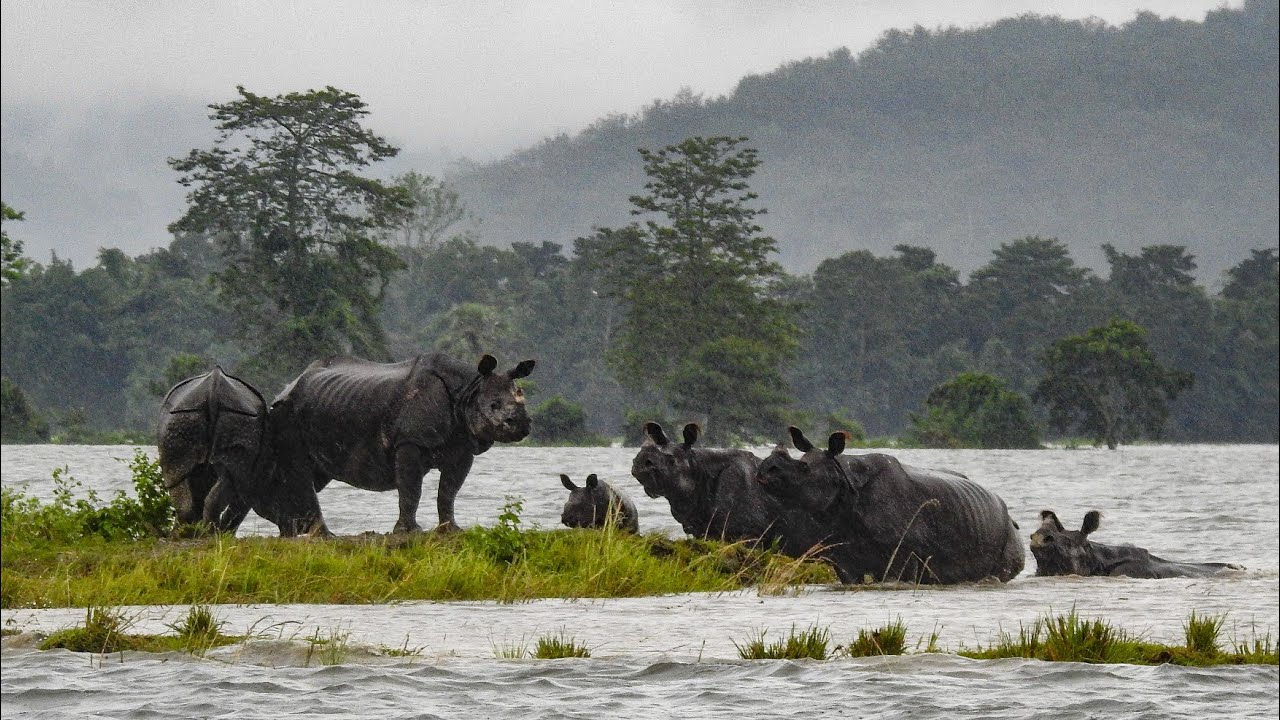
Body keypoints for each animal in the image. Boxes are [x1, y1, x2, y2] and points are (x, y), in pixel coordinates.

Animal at [157, 366, 326, 536]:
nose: (294, 529)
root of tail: (213, 390)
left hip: (198, 418)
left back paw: (195, 534)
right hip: (193, 417)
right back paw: (197, 533)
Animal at [269, 352, 535, 534]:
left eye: (522, 398)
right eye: (494, 406)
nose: (522, 425)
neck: (469, 389)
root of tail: (288, 385)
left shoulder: (462, 447)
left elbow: (448, 490)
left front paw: (450, 529)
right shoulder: (410, 440)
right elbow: (411, 488)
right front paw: (409, 531)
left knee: (313, 476)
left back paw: (292, 533)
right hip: (287, 412)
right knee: (299, 470)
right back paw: (319, 535)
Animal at [755, 426, 1024, 584]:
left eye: (804, 468)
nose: (764, 470)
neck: (843, 478)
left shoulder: (903, 552)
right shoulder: (843, 555)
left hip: (1008, 533)